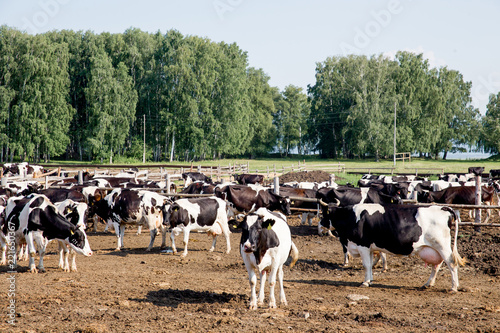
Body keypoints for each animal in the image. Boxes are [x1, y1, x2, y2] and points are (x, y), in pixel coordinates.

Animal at [320, 202, 464, 290]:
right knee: (437, 265)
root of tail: (444, 208)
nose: (320, 226)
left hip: (442, 246)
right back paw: (428, 283)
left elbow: (366, 265)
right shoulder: (370, 248)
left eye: (323, 214)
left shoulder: (363, 245)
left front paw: (365, 282)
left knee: (451, 263)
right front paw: (370, 280)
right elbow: (370, 265)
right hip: (435, 249)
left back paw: (454, 287)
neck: (351, 216)